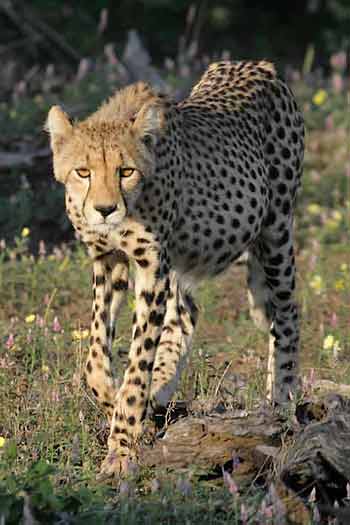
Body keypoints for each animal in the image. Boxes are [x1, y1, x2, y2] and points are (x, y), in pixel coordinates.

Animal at [46, 60, 304, 474]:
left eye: (126, 171)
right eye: (83, 172)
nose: (104, 209)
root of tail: (257, 65)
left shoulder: (152, 264)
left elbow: (137, 362)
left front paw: (122, 448)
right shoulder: (108, 261)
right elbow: (96, 358)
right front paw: (114, 399)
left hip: (276, 228)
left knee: (287, 312)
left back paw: (283, 398)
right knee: (187, 312)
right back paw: (162, 387)